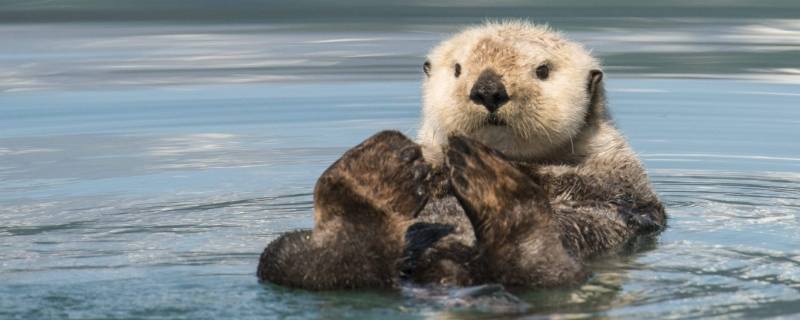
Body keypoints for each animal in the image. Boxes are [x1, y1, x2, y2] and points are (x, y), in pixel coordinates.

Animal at [256, 20, 664, 290]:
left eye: (543, 70)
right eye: (457, 69)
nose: (488, 89)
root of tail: (448, 271)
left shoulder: (622, 179)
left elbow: (586, 186)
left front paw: (511, 169)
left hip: (564, 269)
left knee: (541, 270)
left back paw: (493, 183)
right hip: (286, 253)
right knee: (316, 267)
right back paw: (373, 177)